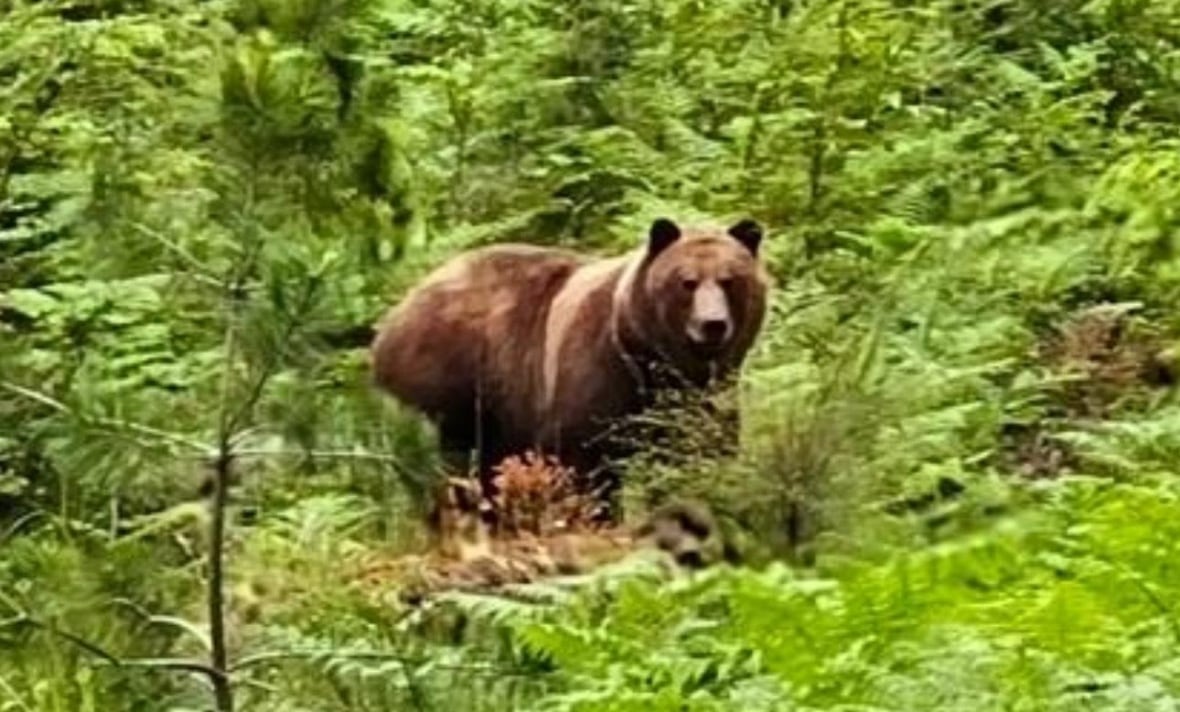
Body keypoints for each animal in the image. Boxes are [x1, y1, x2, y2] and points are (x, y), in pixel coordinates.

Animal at [370, 217, 770, 523]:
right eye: (687, 282)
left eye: (730, 280)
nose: (712, 324)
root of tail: (394, 316)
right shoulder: (595, 375)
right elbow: (584, 461)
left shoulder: (703, 398)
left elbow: (699, 455)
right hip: (448, 387)